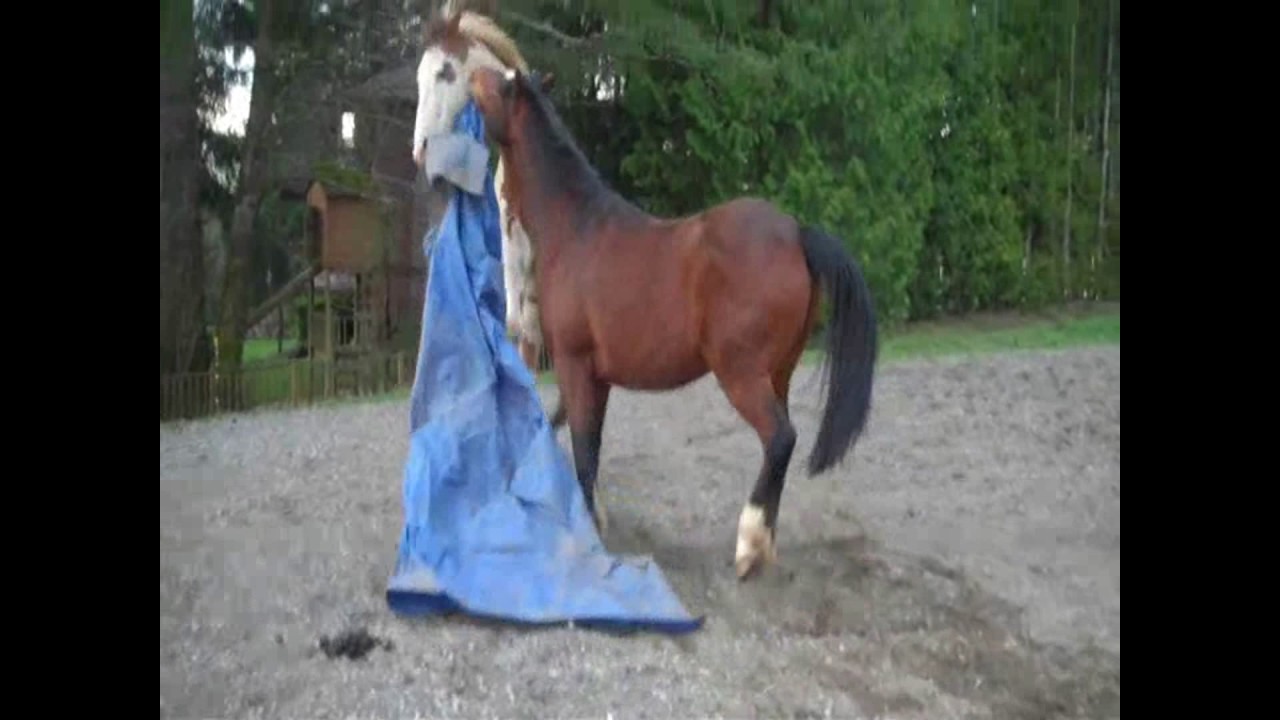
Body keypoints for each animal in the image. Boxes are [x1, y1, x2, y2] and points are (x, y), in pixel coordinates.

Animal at [468, 66, 880, 580]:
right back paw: (764, 544)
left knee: (780, 437)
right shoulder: (598, 377)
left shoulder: (574, 364)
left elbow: (583, 447)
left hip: (740, 373)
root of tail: (795, 232)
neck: (575, 227)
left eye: (505, 84)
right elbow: (588, 441)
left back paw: (748, 545)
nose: (470, 73)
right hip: (778, 373)